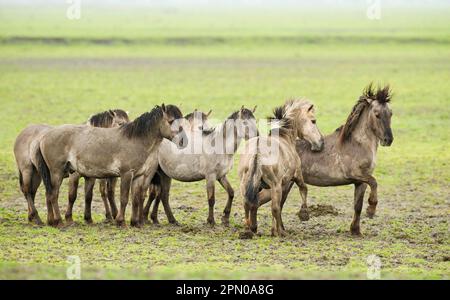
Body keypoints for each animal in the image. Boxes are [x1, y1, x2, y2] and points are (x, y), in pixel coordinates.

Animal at [33, 104, 177, 226]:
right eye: (171, 121)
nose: (180, 140)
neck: (135, 140)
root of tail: (44, 137)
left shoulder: (136, 176)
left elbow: (135, 198)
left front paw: (135, 223)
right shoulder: (125, 174)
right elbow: (124, 198)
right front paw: (120, 221)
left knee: (49, 194)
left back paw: (51, 221)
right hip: (56, 173)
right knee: (53, 195)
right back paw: (58, 221)